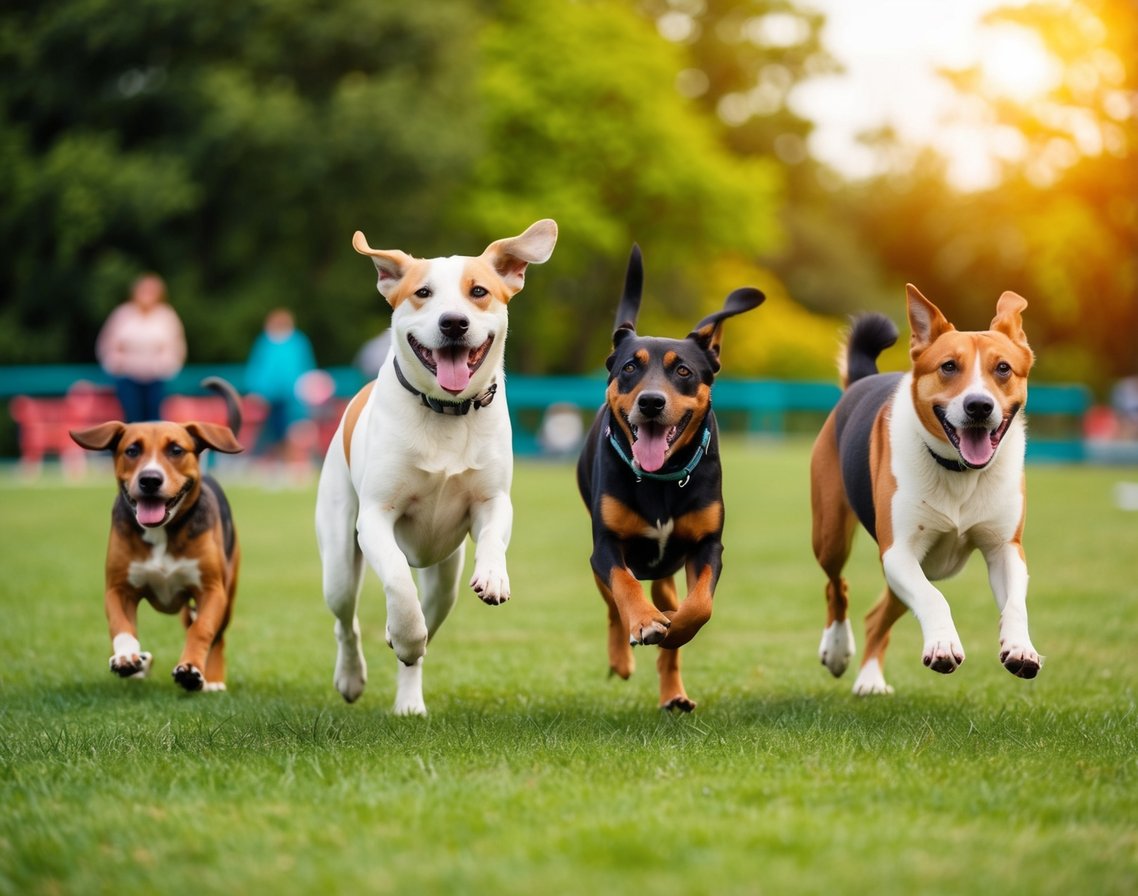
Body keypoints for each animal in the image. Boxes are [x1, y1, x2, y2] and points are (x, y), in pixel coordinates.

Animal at [70, 377, 244, 692]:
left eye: (176, 450)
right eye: (132, 450)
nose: (150, 479)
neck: (162, 532)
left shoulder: (212, 591)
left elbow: (202, 630)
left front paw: (191, 669)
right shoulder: (118, 589)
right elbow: (121, 625)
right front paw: (127, 656)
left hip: (229, 589)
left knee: (217, 636)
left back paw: (212, 679)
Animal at [316, 220, 555, 719]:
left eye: (478, 291)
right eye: (422, 292)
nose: (453, 322)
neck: (446, 410)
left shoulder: (492, 500)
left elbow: (493, 533)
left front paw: (494, 576)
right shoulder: (376, 517)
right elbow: (398, 583)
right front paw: (403, 633)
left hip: (444, 578)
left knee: (428, 625)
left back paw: (409, 700)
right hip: (339, 561)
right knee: (347, 621)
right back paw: (353, 675)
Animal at [578, 249, 764, 710]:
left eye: (682, 371)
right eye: (630, 367)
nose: (651, 401)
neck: (660, 479)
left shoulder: (707, 544)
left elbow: (699, 606)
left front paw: (674, 626)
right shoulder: (605, 545)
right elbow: (624, 586)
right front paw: (645, 623)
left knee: (667, 597)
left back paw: (673, 692)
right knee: (612, 603)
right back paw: (622, 655)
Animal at [810, 285, 1042, 692]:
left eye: (1003, 368)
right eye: (948, 366)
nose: (979, 406)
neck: (960, 471)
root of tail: (860, 381)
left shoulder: (1005, 548)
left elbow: (1015, 601)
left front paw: (1020, 648)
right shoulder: (898, 551)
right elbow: (935, 600)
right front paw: (943, 645)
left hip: (918, 567)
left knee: (877, 616)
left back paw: (870, 678)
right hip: (831, 537)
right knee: (836, 585)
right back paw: (838, 650)